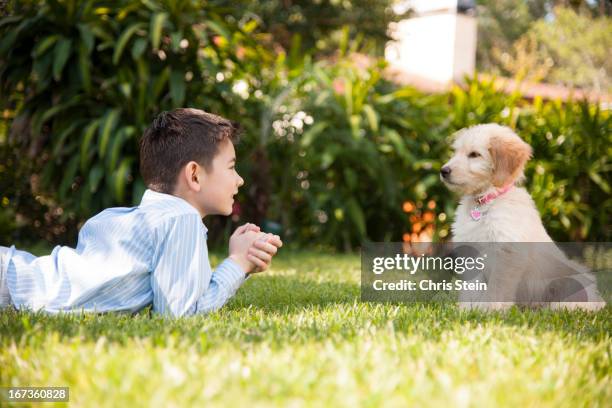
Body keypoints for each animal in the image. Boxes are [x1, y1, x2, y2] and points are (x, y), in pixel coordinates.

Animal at [440, 122, 604, 310]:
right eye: (456, 152)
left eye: (474, 154)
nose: (443, 171)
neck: (486, 201)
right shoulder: (470, 253)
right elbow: (471, 289)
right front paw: (466, 311)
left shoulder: (508, 253)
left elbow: (498, 288)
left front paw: (490, 311)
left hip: (575, 278)